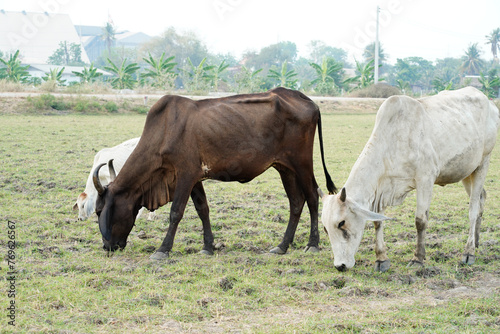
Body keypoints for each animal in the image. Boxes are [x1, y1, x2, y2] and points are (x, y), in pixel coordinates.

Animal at [94, 87, 336, 260]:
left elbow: (176, 212)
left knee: (312, 197)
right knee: (296, 202)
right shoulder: (194, 178)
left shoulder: (185, 174)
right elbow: (203, 210)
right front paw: (208, 247)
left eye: (98, 211)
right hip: (285, 167)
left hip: (302, 163)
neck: (164, 131)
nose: (107, 247)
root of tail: (306, 100)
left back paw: (312, 244)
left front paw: (163, 249)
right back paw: (282, 246)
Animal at [320, 87, 500, 272]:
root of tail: (489, 102)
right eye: (325, 228)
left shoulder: (425, 179)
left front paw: (418, 258)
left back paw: (469, 252)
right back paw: (476, 242)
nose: (340, 265)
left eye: (341, 223)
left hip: (483, 163)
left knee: (473, 209)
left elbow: (420, 221)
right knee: (482, 198)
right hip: (466, 171)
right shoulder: (381, 187)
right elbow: (378, 222)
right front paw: (381, 259)